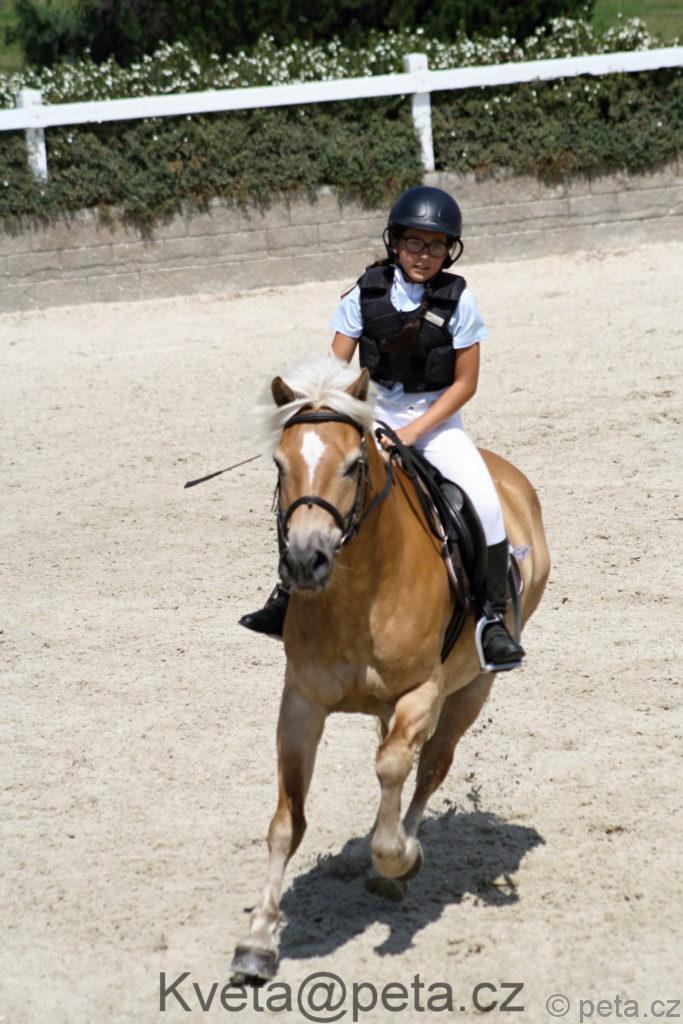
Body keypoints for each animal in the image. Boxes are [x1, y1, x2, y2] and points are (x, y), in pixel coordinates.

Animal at [231, 355, 550, 982]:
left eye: (354, 465)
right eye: (279, 464)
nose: (305, 561)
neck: (359, 593)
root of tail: (510, 478)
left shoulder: (423, 691)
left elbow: (396, 770)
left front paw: (396, 858)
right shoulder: (300, 703)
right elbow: (287, 820)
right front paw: (258, 941)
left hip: (472, 689)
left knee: (430, 767)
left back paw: (401, 858)